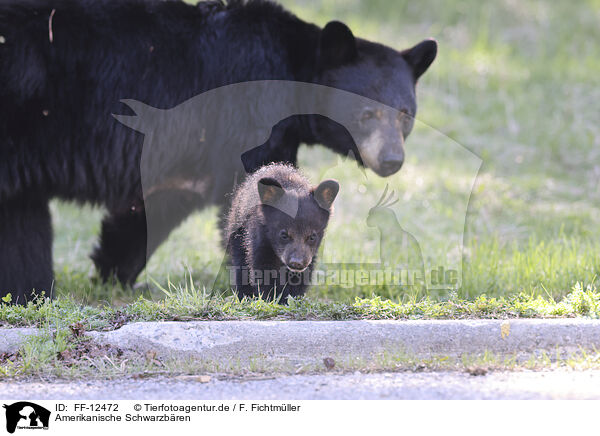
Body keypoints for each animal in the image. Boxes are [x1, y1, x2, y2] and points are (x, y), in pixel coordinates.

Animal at [1, 0, 440, 304]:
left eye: (405, 113)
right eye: (366, 114)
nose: (392, 160)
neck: (292, 71)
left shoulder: (183, 152)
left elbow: (150, 207)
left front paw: (113, 273)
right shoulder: (246, 114)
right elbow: (252, 193)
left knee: (23, 223)